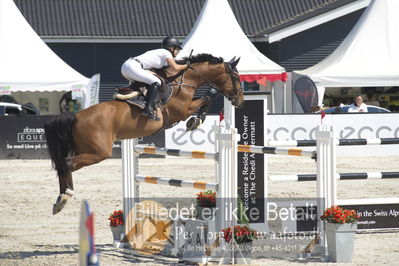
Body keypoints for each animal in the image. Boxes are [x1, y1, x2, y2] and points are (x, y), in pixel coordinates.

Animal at [43, 53, 244, 214]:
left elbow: (207, 97)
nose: (240, 101)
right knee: (68, 164)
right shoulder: (182, 110)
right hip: (99, 152)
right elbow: (209, 95)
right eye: (236, 76)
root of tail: (76, 116)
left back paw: (59, 201)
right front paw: (196, 120)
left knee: (63, 166)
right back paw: (65, 196)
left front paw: (196, 120)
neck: (184, 80)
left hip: (85, 149)